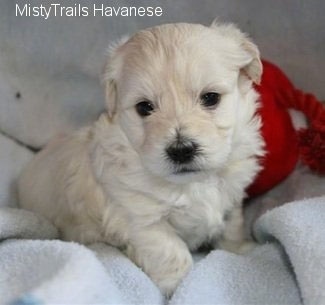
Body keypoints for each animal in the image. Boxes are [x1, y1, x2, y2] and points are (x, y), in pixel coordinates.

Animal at [18, 21, 264, 294]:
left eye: (210, 98)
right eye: (144, 107)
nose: (181, 149)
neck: (190, 183)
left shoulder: (232, 196)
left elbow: (232, 226)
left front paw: (239, 251)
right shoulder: (142, 220)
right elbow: (172, 252)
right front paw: (179, 287)